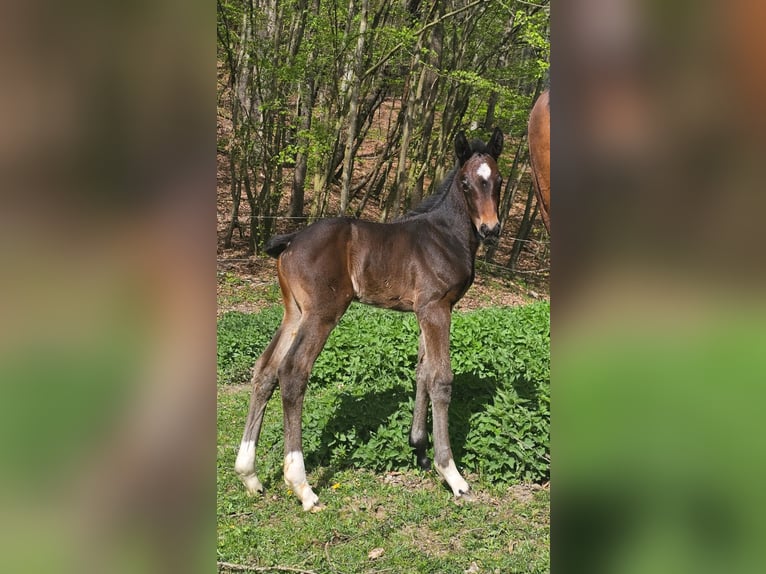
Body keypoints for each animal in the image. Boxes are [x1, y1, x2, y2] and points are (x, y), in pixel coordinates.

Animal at [237, 128, 508, 510]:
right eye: (467, 183)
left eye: (498, 181)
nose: (490, 229)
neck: (445, 235)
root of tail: (291, 240)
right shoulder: (437, 308)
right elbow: (441, 380)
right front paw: (452, 474)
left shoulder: (425, 310)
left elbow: (423, 373)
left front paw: (419, 451)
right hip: (322, 313)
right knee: (292, 372)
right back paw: (302, 486)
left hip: (294, 313)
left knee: (265, 370)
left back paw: (250, 475)